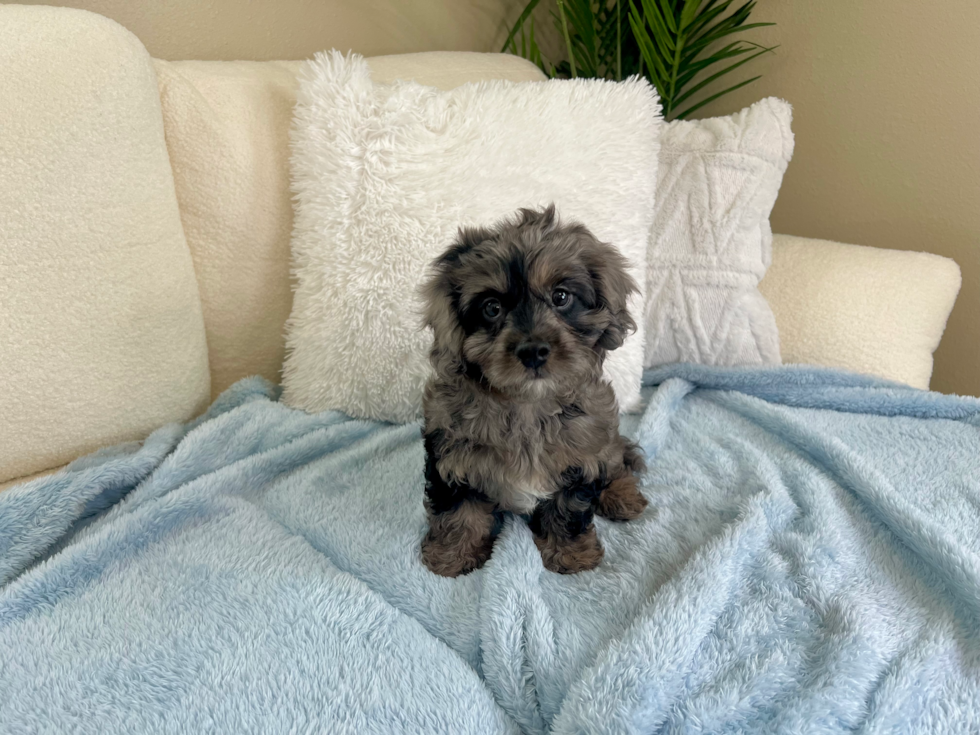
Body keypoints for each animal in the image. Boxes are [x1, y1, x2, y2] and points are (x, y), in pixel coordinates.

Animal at [418, 204, 648, 576]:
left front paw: (571, 555)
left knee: (618, 460)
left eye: (561, 297)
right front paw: (451, 555)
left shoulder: (582, 457)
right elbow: (460, 511)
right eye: (492, 307)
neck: (526, 404)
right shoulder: (452, 455)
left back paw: (622, 496)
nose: (533, 351)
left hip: (605, 437)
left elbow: (568, 509)